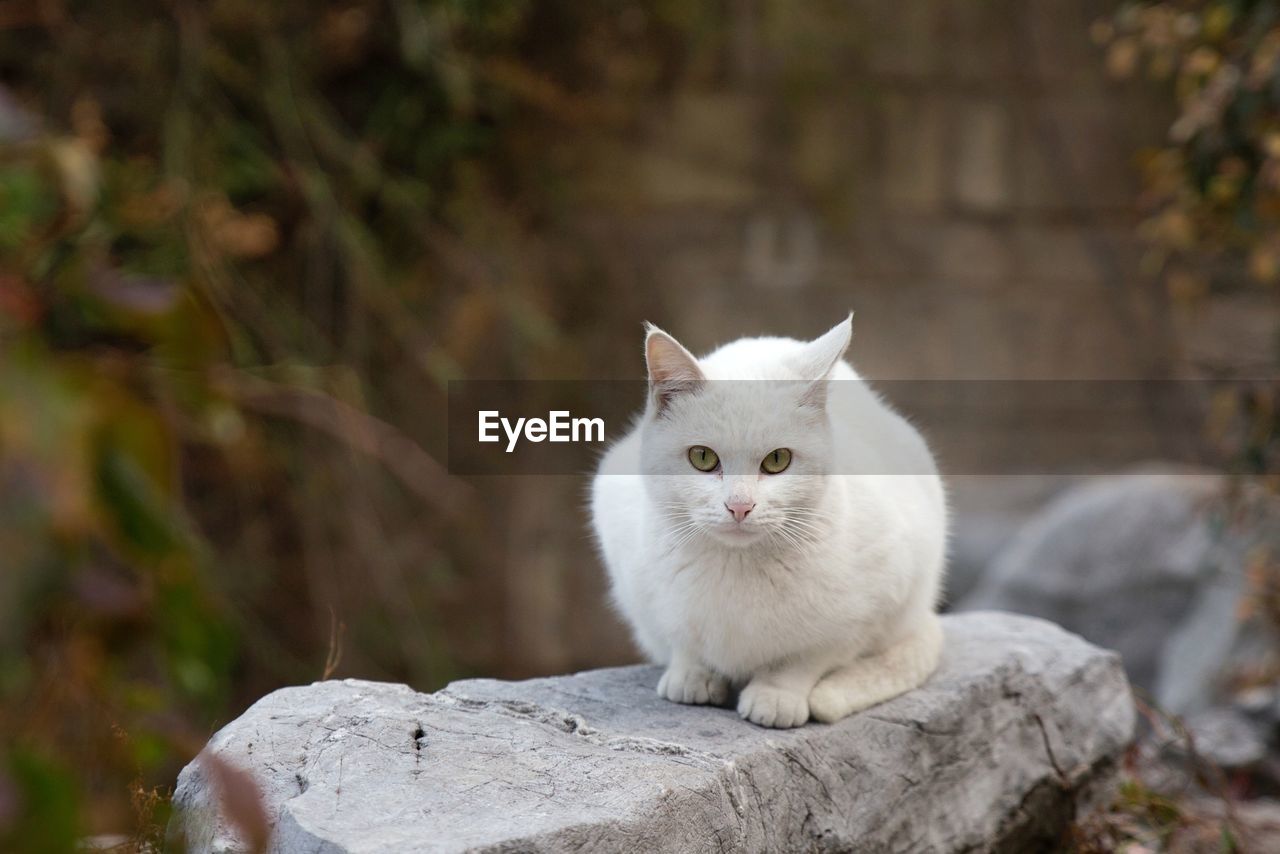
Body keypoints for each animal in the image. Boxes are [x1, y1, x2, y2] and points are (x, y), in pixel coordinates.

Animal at [593, 317, 947, 732]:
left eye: (778, 460)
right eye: (702, 457)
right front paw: (692, 675)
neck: (736, 566)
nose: (739, 506)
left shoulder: (871, 607)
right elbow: (683, 639)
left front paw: (776, 695)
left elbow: (806, 659)